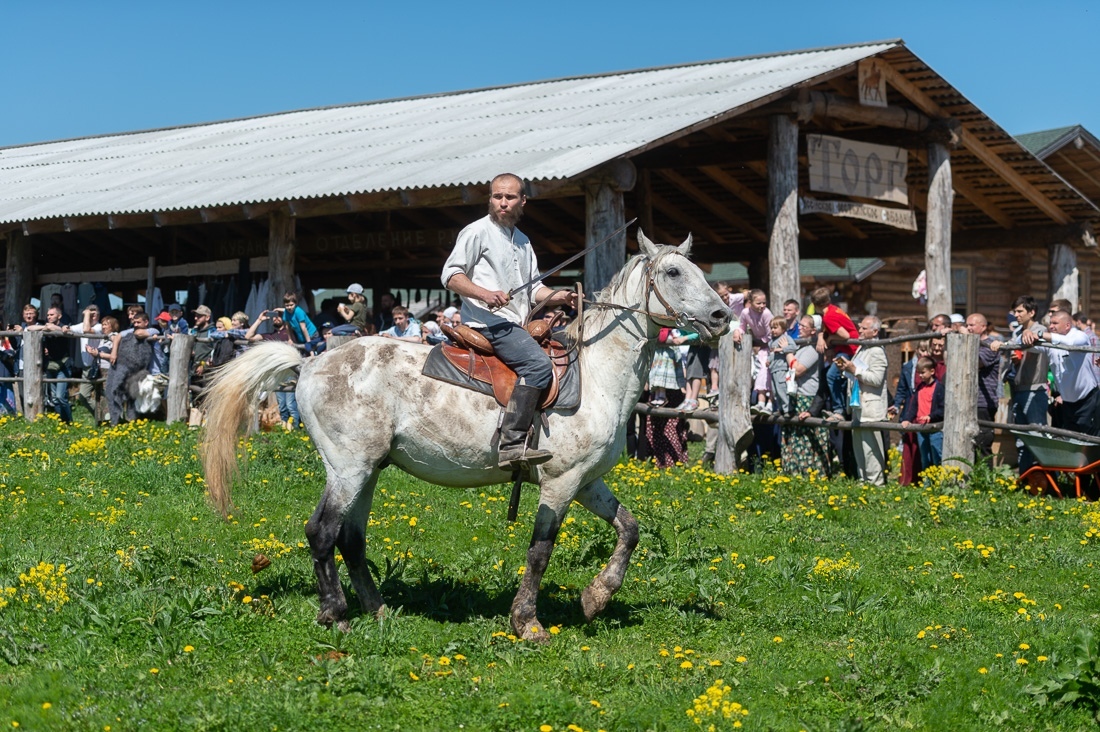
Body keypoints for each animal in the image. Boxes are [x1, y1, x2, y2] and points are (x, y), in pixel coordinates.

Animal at [200, 230, 730, 638]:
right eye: (674, 273)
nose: (723, 317)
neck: (597, 372)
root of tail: (308, 362)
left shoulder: (587, 481)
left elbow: (630, 529)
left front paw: (596, 598)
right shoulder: (559, 484)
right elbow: (540, 551)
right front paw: (527, 623)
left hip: (369, 470)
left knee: (351, 538)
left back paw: (379, 610)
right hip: (347, 467)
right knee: (322, 532)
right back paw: (336, 616)